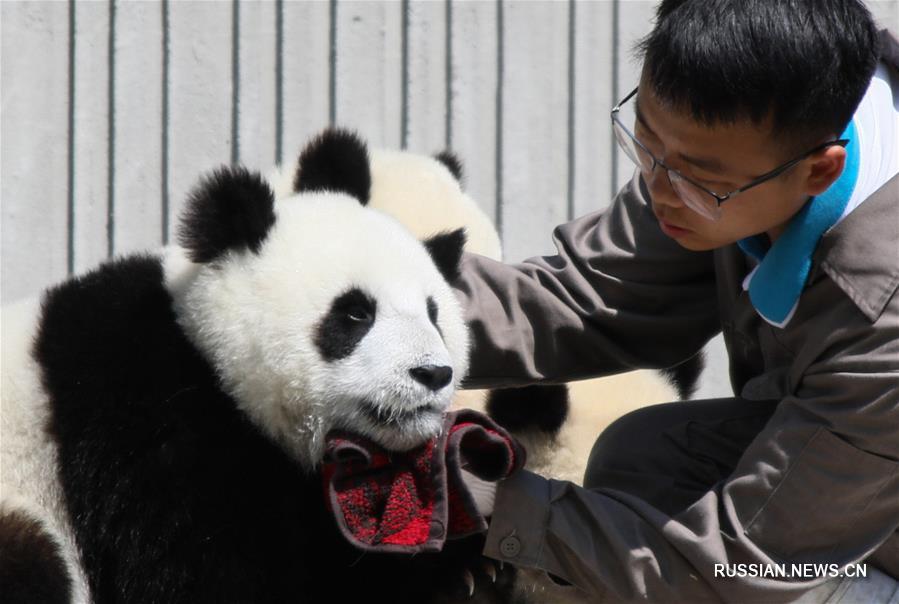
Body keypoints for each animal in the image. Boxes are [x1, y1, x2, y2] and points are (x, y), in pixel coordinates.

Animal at [0, 130, 520, 600]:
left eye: (435, 314)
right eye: (356, 313)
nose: (432, 374)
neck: (207, 351)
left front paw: (470, 567)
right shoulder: (145, 422)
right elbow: (207, 576)